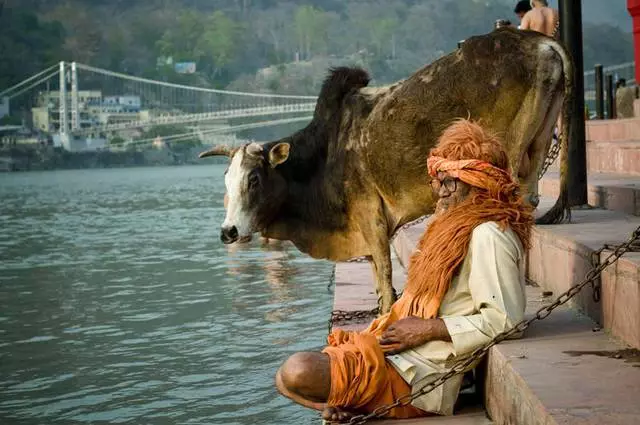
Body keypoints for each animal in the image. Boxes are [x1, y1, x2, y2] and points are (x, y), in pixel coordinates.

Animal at [199, 26, 568, 312]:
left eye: (254, 179)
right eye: (226, 181)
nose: (228, 231)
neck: (325, 156)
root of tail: (542, 43)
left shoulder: (371, 217)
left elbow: (385, 274)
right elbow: (378, 277)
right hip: (535, 151)